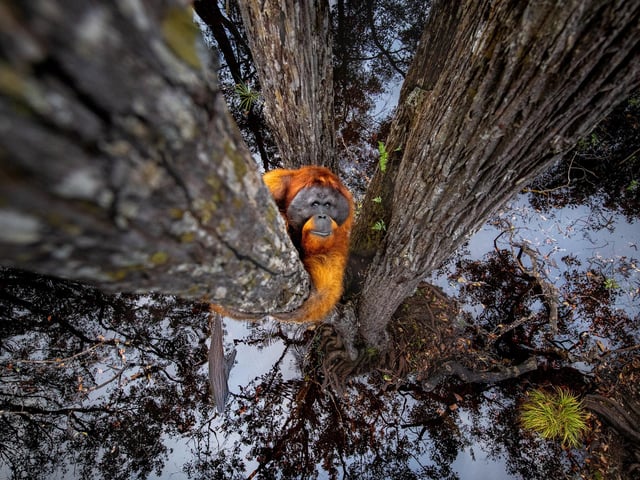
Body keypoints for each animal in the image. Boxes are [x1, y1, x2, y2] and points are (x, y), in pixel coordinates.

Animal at [211, 166, 354, 323]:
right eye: (315, 204)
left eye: (328, 205)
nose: (323, 216)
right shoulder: (271, 185)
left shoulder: (342, 230)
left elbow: (328, 273)